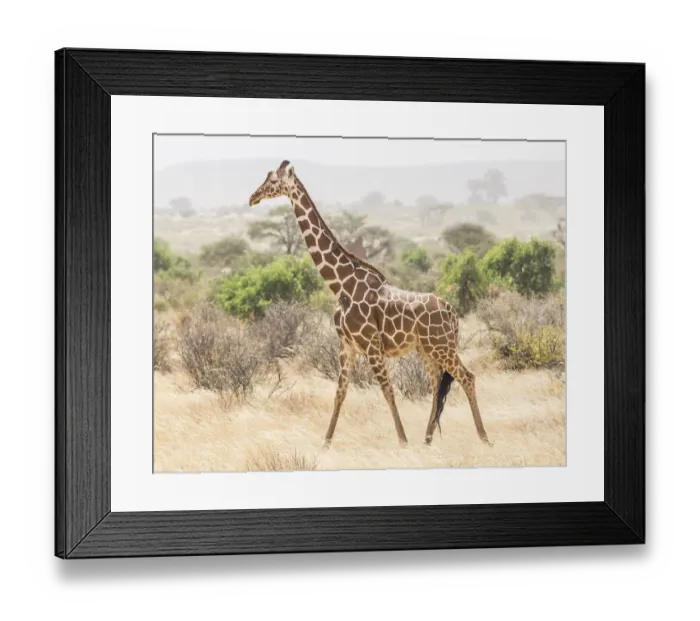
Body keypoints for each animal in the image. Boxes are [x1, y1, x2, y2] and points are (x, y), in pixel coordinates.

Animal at [249, 161, 491, 449]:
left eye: (274, 181)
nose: (253, 197)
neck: (340, 284)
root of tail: (452, 313)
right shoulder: (346, 346)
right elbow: (340, 393)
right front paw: (325, 444)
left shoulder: (372, 345)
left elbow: (387, 391)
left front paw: (402, 441)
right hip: (427, 348)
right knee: (437, 385)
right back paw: (427, 438)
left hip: (442, 346)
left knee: (467, 377)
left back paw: (483, 438)